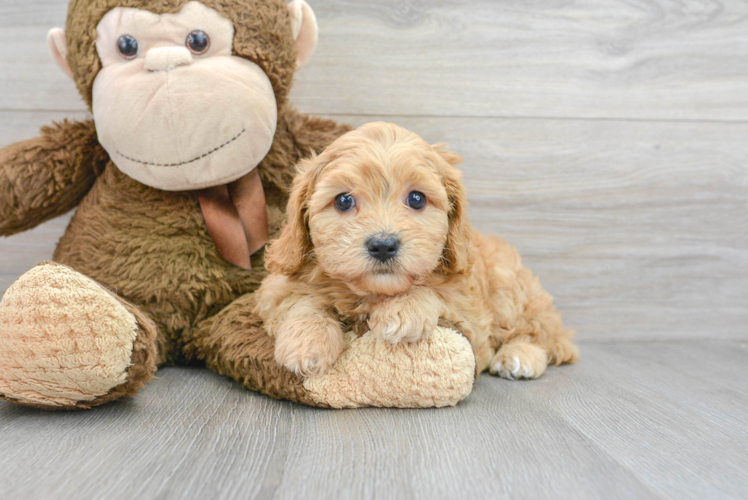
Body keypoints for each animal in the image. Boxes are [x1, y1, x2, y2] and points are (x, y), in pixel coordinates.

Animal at [254, 122, 580, 378]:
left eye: (417, 199)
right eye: (343, 201)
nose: (383, 245)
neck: (372, 294)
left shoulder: (471, 316)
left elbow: (435, 291)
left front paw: (403, 309)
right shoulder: (275, 289)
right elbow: (302, 300)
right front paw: (307, 341)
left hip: (509, 287)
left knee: (544, 334)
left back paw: (520, 356)